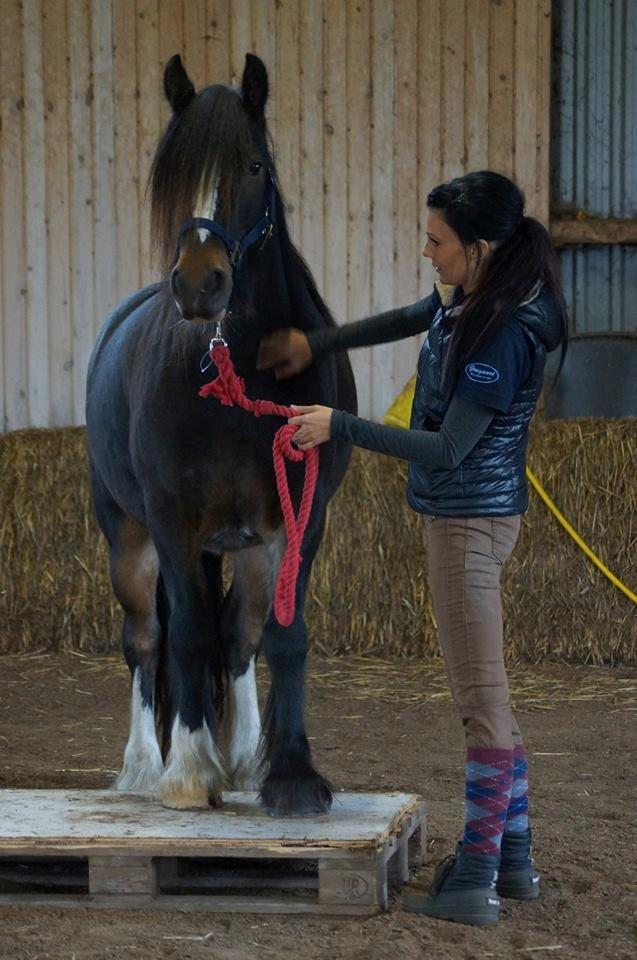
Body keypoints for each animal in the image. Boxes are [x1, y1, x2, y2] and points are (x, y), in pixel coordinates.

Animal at [87, 54, 358, 816]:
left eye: (255, 165)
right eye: (171, 171)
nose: (200, 285)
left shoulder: (300, 518)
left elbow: (280, 636)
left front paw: (290, 773)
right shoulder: (171, 521)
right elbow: (186, 634)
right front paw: (187, 770)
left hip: (250, 544)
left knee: (237, 634)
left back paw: (238, 757)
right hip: (128, 537)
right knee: (147, 639)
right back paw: (148, 766)